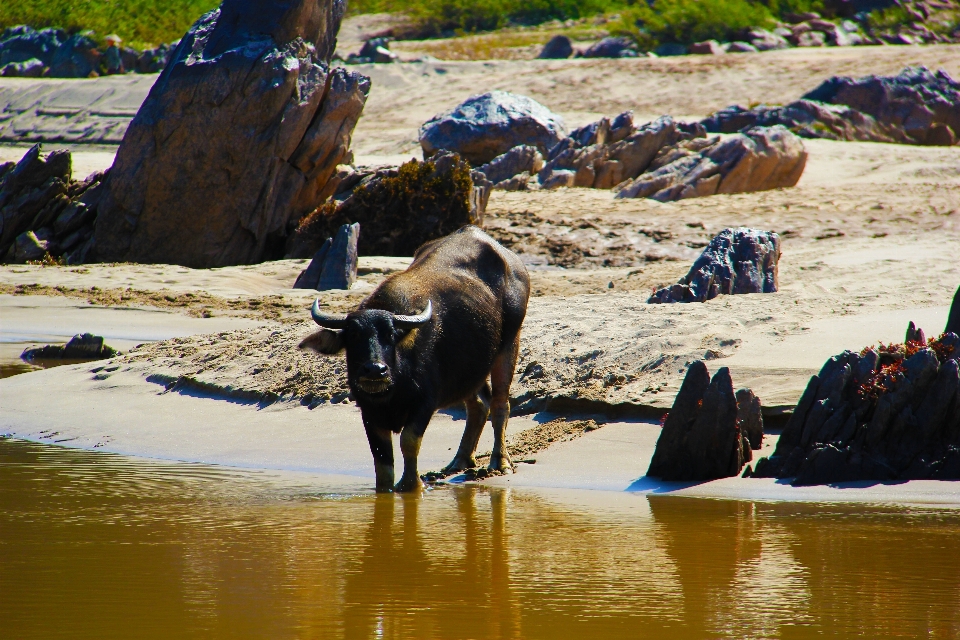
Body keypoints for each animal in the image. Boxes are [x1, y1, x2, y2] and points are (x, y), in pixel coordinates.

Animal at [300, 228, 532, 492]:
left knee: (500, 403)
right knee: (478, 405)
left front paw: (412, 484)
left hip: (510, 342)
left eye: (391, 335)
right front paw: (386, 490)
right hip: (470, 369)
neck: (393, 389)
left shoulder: (424, 404)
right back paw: (460, 460)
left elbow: (408, 441)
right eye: (353, 336)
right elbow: (382, 458)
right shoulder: (369, 412)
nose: (375, 370)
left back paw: (499, 462)